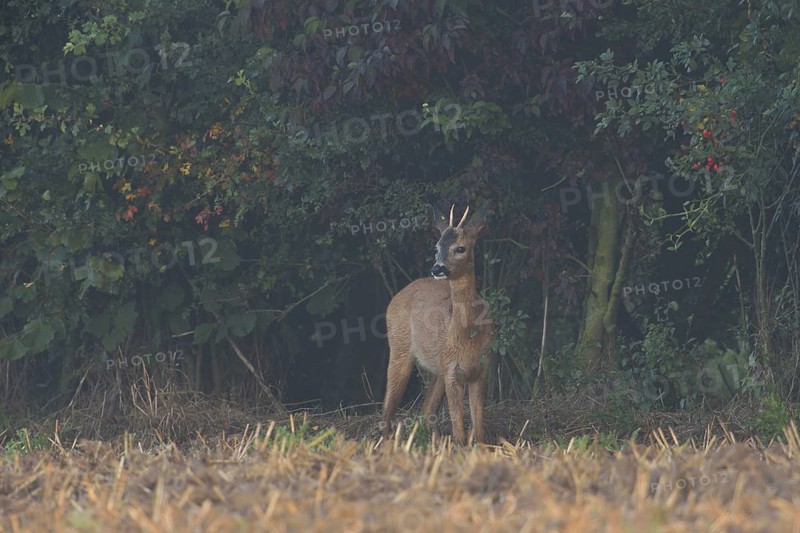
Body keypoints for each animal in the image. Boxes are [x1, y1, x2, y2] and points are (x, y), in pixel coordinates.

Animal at [381, 203, 494, 445]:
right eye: (436, 247)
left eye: (460, 248)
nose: (437, 268)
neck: (467, 335)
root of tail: (398, 295)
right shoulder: (452, 371)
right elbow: (459, 428)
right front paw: (460, 446)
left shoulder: (480, 370)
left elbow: (479, 427)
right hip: (400, 347)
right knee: (387, 407)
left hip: (437, 367)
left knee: (427, 408)